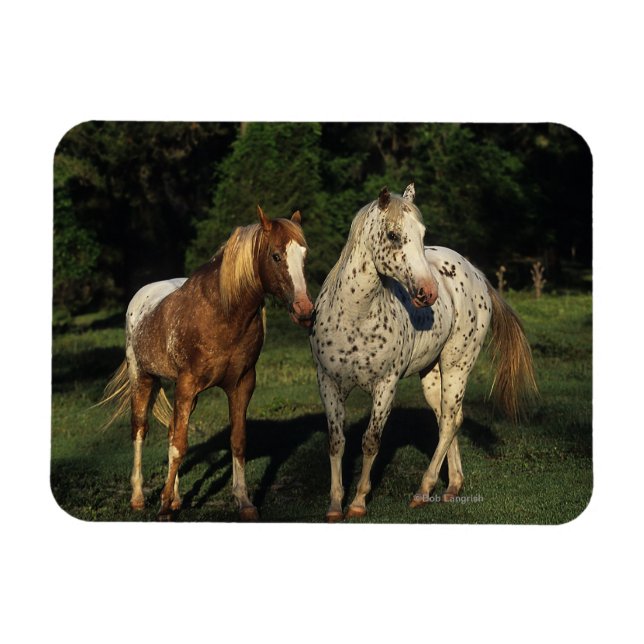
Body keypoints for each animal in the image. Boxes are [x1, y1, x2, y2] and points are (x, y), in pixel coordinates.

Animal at [98, 206, 313, 520]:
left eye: (304, 255)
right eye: (275, 255)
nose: (305, 310)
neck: (222, 313)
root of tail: (139, 299)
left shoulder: (241, 384)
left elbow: (236, 441)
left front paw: (244, 502)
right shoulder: (187, 384)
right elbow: (179, 446)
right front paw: (163, 506)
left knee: (172, 429)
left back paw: (176, 498)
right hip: (143, 377)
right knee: (140, 429)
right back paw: (138, 497)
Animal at [309, 184, 538, 522]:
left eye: (422, 233)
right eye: (392, 235)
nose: (428, 293)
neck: (354, 315)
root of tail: (475, 272)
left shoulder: (385, 386)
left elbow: (371, 441)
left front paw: (359, 501)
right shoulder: (328, 383)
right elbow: (336, 442)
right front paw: (335, 505)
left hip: (457, 366)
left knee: (450, 422)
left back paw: (423, 490)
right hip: (432, 374)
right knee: (448, 418)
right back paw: (453, 486)